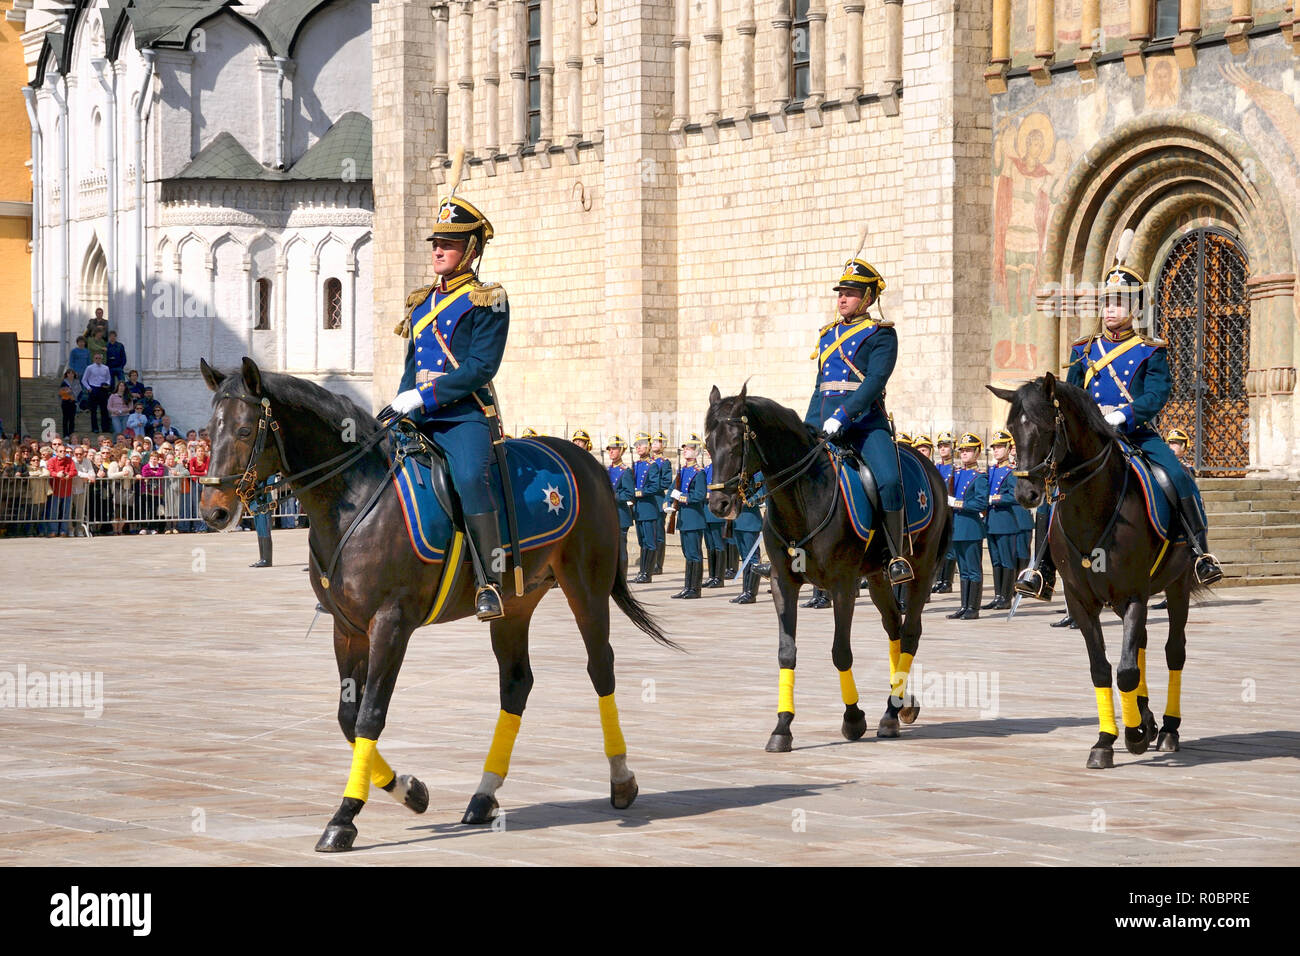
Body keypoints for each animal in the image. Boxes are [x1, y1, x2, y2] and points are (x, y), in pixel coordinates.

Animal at [200, 358, 681, 853]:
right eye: (209, 430)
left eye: (243, 430)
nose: (213, 510)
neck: (355, 495)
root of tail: (587, 460)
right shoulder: (346, 628)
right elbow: (347, 719)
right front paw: (410, 790)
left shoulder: (390, 624)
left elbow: (370, 717)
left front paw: (345, 816)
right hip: (514, 604)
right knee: (516, 684)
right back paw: (484, 795)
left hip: (586, 586)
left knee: (600, 667)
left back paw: (621, 779)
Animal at [702, 385, 956, 749]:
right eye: (708, 443)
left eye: (737, 442)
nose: (719, 504)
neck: (802, 497)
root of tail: (931, 469)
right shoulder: (783, 583)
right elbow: (786, 652)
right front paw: (782, 726)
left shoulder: (843, 585)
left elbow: (841, 652)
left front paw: (853, 718)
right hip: (877, 576)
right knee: (893, 627)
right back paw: (900, 703)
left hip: (918, 568)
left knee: (909, 633)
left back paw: (890, 711)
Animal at [993, 374, 1206, 770]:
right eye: (1012, 428)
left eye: (1047, 427)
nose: (1026, 493)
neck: (1092, 507)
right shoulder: (1081, 601)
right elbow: (1103, 668)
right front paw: (1108, 739)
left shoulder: (1135, 593)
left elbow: (1125, 671)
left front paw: (1134, 734)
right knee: (1140, 645)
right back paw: (1147, 718)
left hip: (1178, 585)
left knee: (1174, 651)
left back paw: (1168, 728)